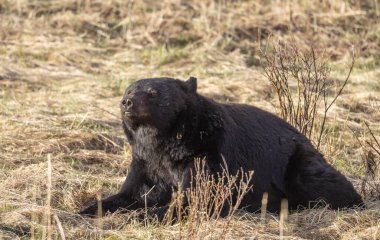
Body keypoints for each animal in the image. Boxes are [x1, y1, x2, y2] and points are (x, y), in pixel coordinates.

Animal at [79, 77, 362, 218]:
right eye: (129, 89)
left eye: (152, 92)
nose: (126, 102)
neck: (165, 142)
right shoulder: (145, 161)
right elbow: (137, 192)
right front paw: (90, 208)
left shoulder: (206, 154)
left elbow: (199, 196)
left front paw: (150, 215)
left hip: (296, 162)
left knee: (320, 182)